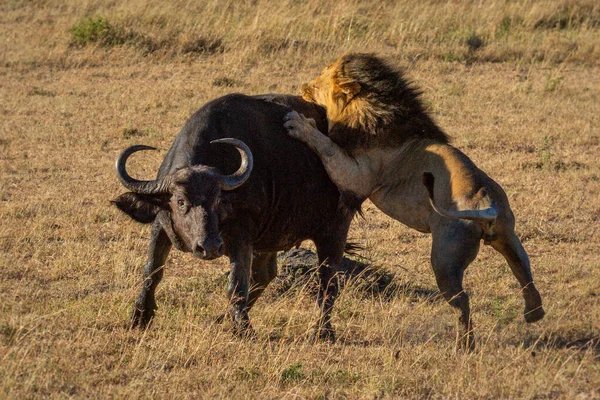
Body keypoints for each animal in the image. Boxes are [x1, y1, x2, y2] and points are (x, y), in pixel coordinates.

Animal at [112, 94, 356, 340]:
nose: (209, 247)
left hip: (334, 232)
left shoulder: (242, 235)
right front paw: (139, 316)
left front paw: (243, 327)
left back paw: (323, 330)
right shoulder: (161, 225)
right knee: (265, 275)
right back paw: (221, 318)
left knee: (327, 282)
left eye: (218, 200)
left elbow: (236, 284)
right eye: (180, 201)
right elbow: (151, 272)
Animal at [284, 54, 544, 350]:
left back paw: (464, 344)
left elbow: (326, 146)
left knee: (463, 301)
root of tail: (483, 198)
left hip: (445, 259)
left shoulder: (357, 176)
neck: (375, 108)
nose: (303, 87)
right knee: (525, 273)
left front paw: (299, 123)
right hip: (508, 235)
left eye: (318, 82)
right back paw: (534, 313)